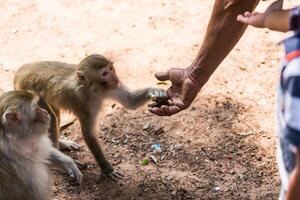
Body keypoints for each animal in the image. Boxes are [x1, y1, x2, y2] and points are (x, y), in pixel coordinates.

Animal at [14, 54, 168, 179]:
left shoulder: (109, 89)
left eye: (111, 68)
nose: (115, 79)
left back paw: (62, 144)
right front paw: (107, 169)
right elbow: (89, 133)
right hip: (29, 93)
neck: (94, 89)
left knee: (54, 115)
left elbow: (130, 101)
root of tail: (20, 71)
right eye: (104, 73)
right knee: (50, 118)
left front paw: (156, 91)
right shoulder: (84, 103)